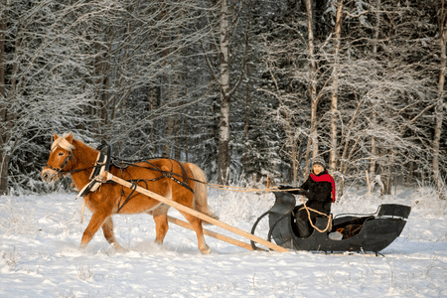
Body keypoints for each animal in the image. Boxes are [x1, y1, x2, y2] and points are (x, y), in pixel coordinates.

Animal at [41, 133, 216, 254]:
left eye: (61, 153)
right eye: (51, 152)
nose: (45, 175)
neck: (100, 173)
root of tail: (184, 165)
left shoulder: (102, 211)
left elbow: (88, 234)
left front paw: (79, 253)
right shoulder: (104, 213)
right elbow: (109, 235)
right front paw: (123, 251)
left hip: (183, 202)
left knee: (196, 222)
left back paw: (204, 248)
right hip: (160, 206)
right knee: (163, 228)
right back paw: (154, 249)